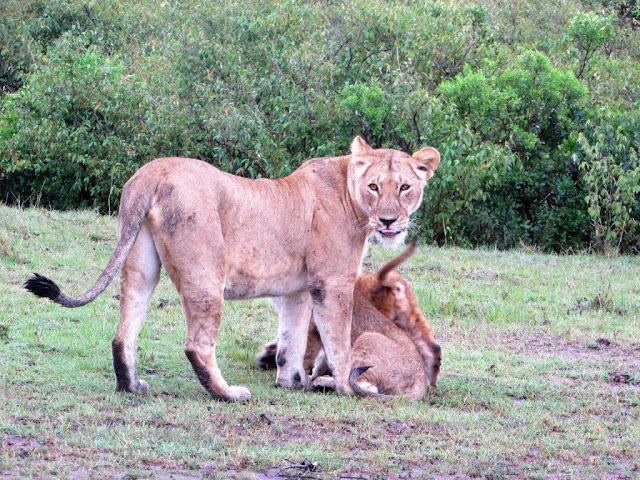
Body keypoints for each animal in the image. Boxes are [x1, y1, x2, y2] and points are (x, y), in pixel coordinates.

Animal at [24, 136, 440, 401]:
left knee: (123, 333)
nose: (388, 221)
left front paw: (291, 382)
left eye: (405, 187)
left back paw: (132, 387)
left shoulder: (298, 290)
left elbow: (291, 339)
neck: (351, 197)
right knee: (197, 345)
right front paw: (345, 386)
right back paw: (229, 394)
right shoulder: (332, 282)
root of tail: (150, 174)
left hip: (140, 264)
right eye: (375, 186)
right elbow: (338, 343)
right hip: (206, 272)